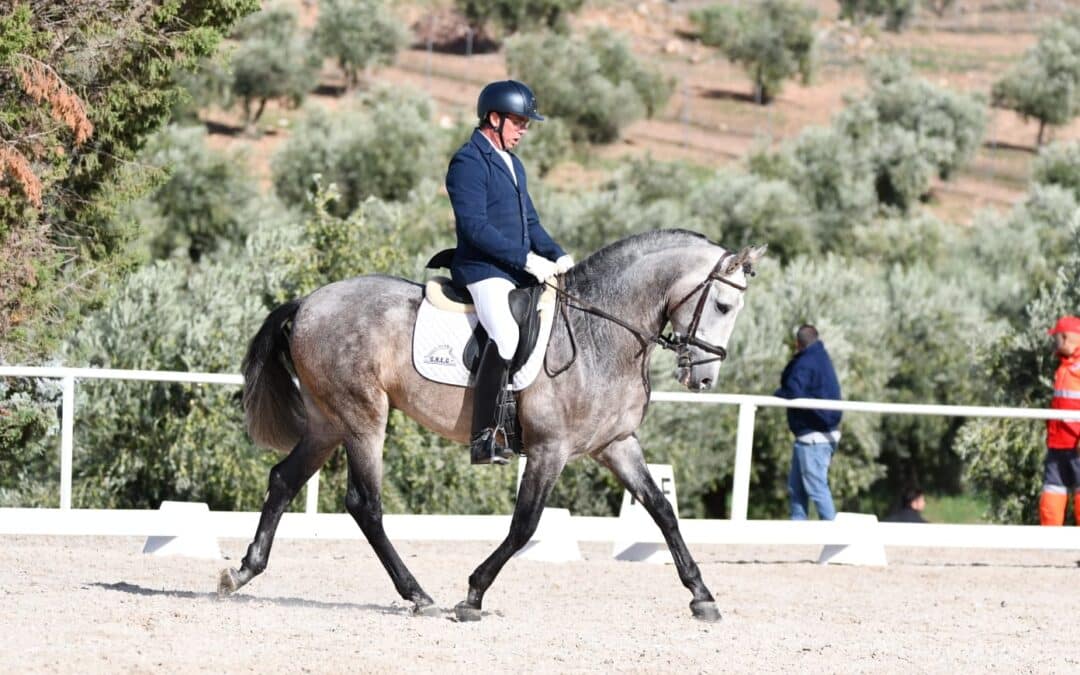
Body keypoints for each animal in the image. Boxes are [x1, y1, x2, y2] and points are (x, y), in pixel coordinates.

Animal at [219, 230, 764, 622]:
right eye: (722, 305)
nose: (704, 378)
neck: (601, 333)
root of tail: (308, 302)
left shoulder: (616, 444)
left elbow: (662, 510)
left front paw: (702, 595)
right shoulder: (550, 449)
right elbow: (525, 526)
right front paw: (473, 595)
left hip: (327, 422)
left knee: (283, 480)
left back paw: (242, 572)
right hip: (362, 416)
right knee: (363, 504)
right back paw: (418, 595)